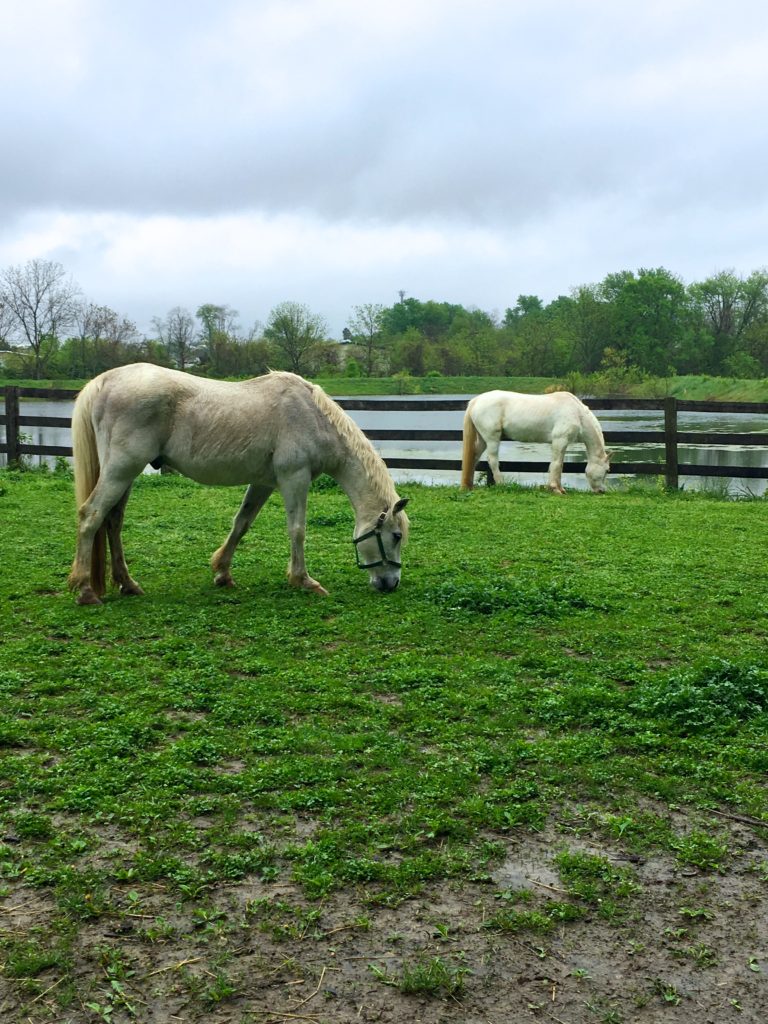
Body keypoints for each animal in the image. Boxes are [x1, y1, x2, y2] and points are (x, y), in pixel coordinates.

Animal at [69, 366, 411, 602]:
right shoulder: (294, 478)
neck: (312, 416)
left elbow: (241, 524)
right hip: (121, 470)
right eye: (395, 536)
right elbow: (297, 530)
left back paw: (127, 584)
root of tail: (105, 381)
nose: (391, 583)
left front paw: (222, 573)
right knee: (91, 516)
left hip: (125, 474)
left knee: (113, 522)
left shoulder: (263, 483)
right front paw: (303, 580)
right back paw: (85, 589)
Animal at [462, 389, 614, 493]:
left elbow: (558, 465)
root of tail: (476, 401)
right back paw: (501, 484)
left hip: (483, 440)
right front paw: (555, 489)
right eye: (607, 470)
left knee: (474, 457)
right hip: (492, 438)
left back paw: (469, 485)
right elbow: (557, 464)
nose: (602, 491)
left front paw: (559, 488)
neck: (577, 413)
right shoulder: (560, 441)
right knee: (492, 460)